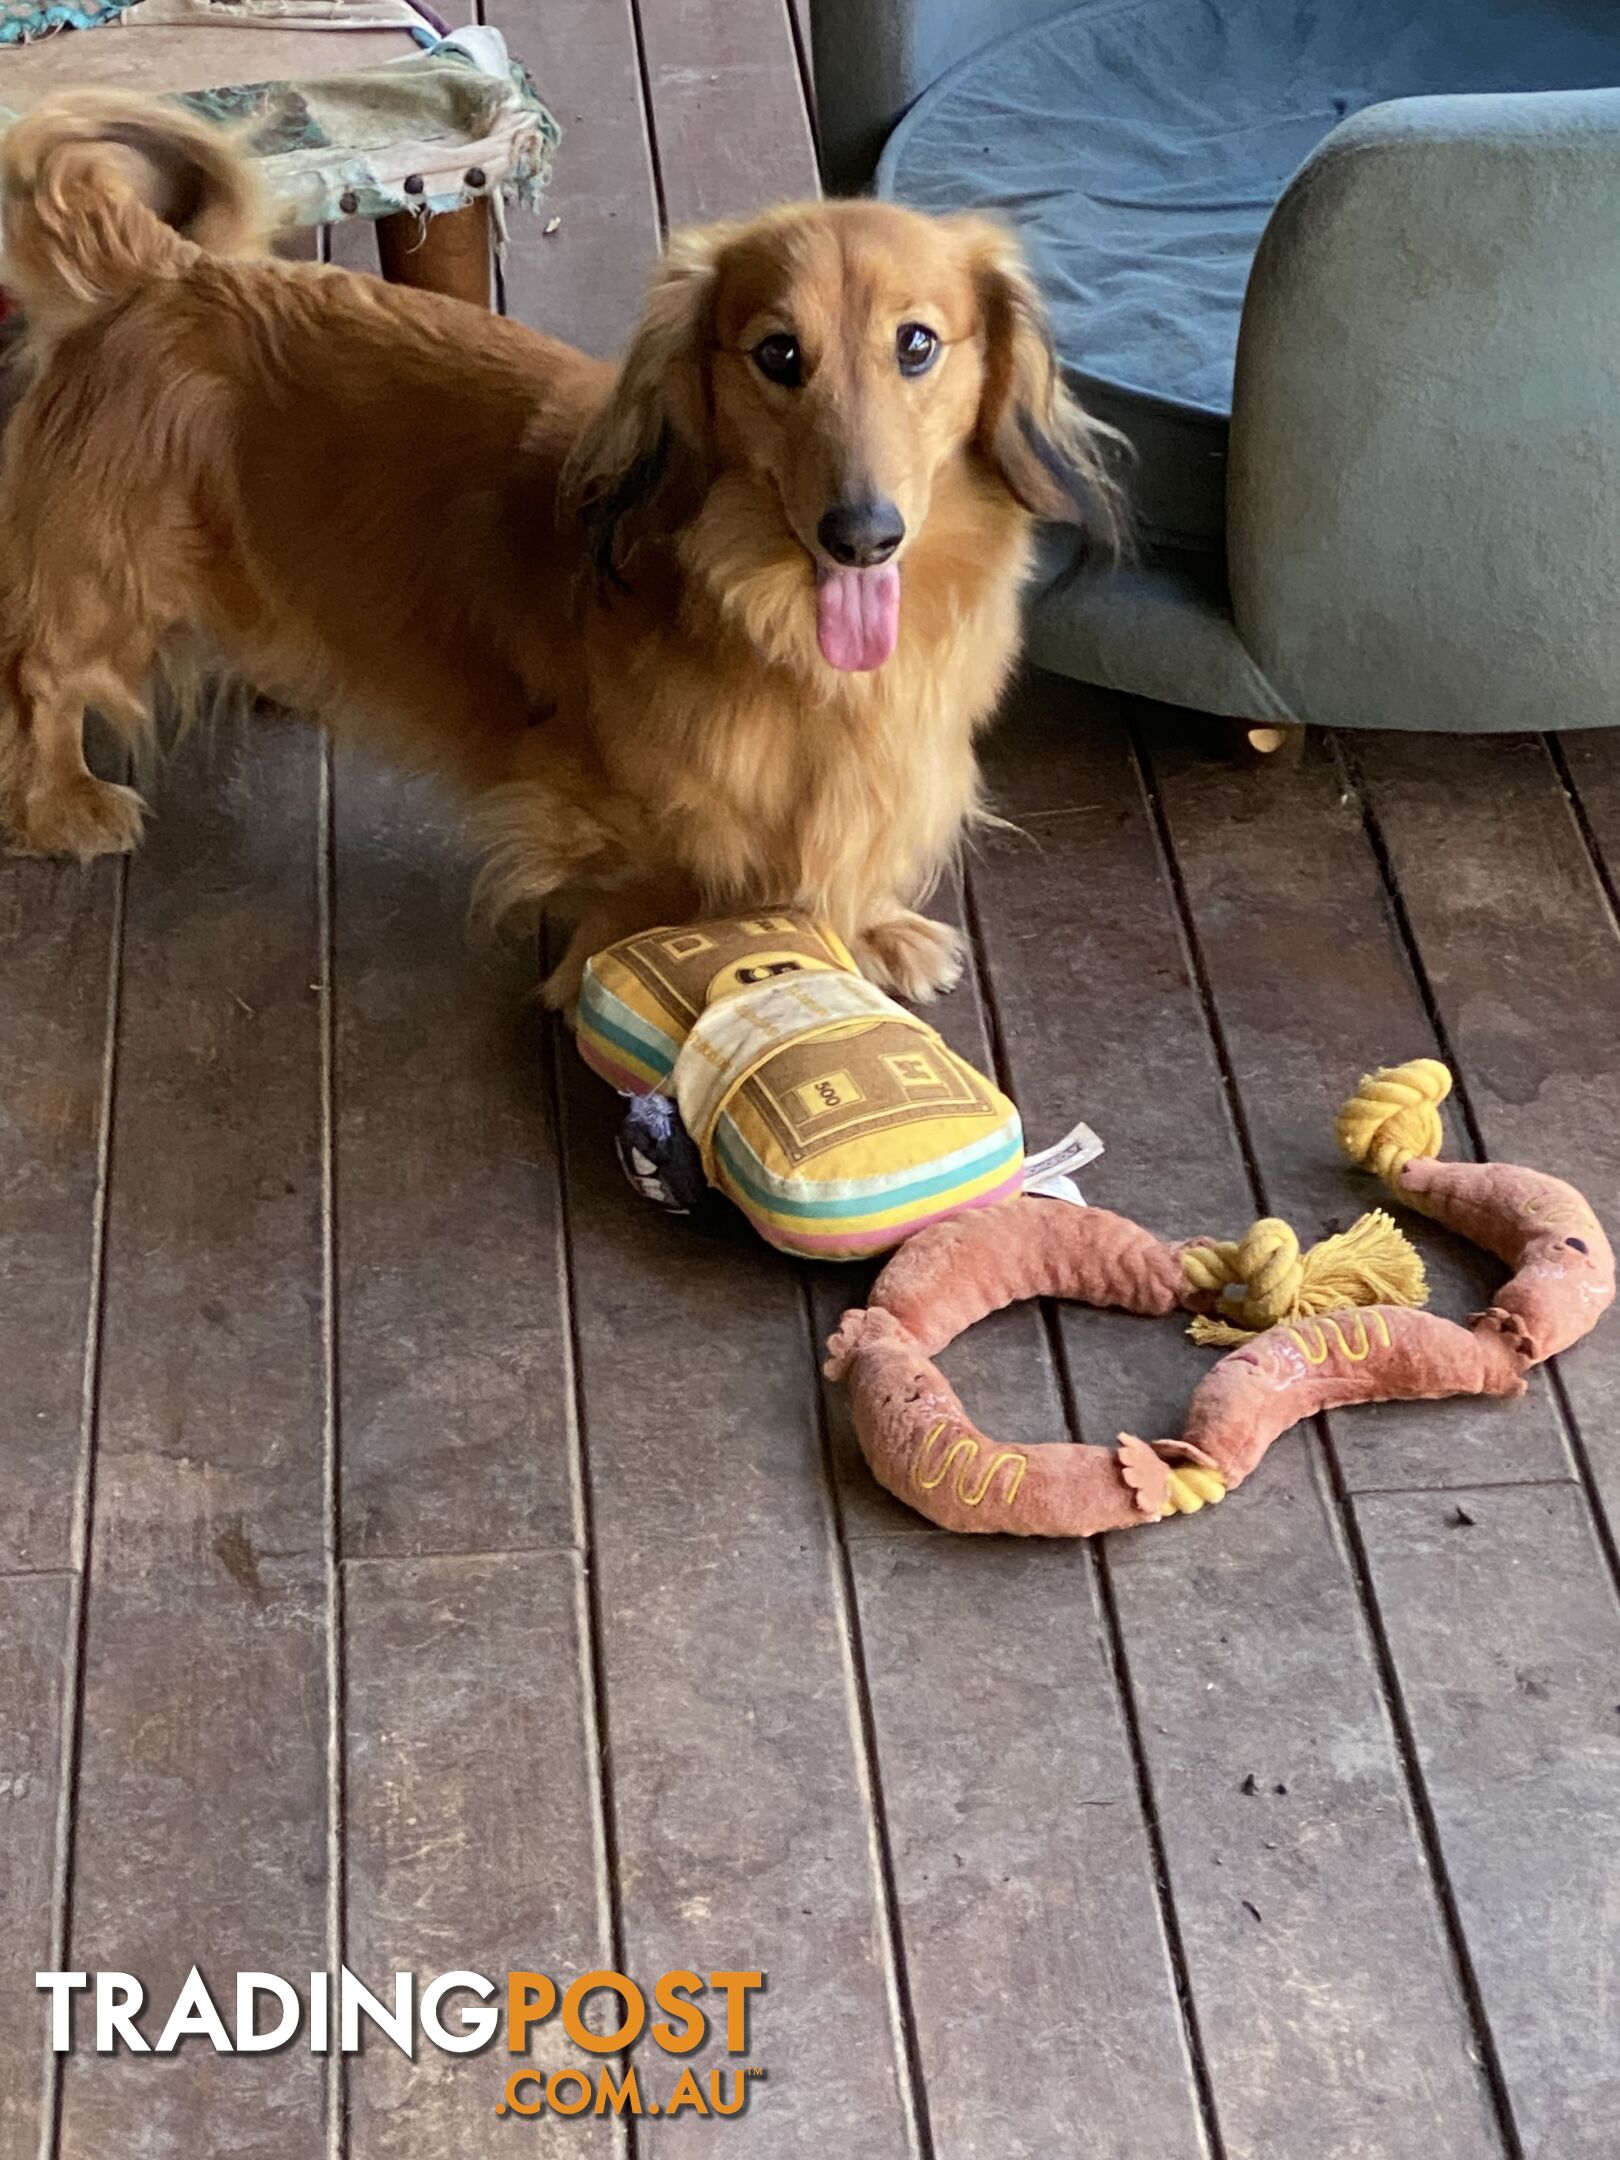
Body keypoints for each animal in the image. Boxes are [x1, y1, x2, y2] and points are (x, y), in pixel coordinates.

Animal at [0, 97, 1123, 1006]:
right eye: (778, 355)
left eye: (918, 344)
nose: (862, 536)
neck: (771, 629)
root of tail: (164, 273)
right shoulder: (599, 797)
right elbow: (663, 876)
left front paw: (880, 928)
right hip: (108, 583)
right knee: (41, 680)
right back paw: (62, 806)